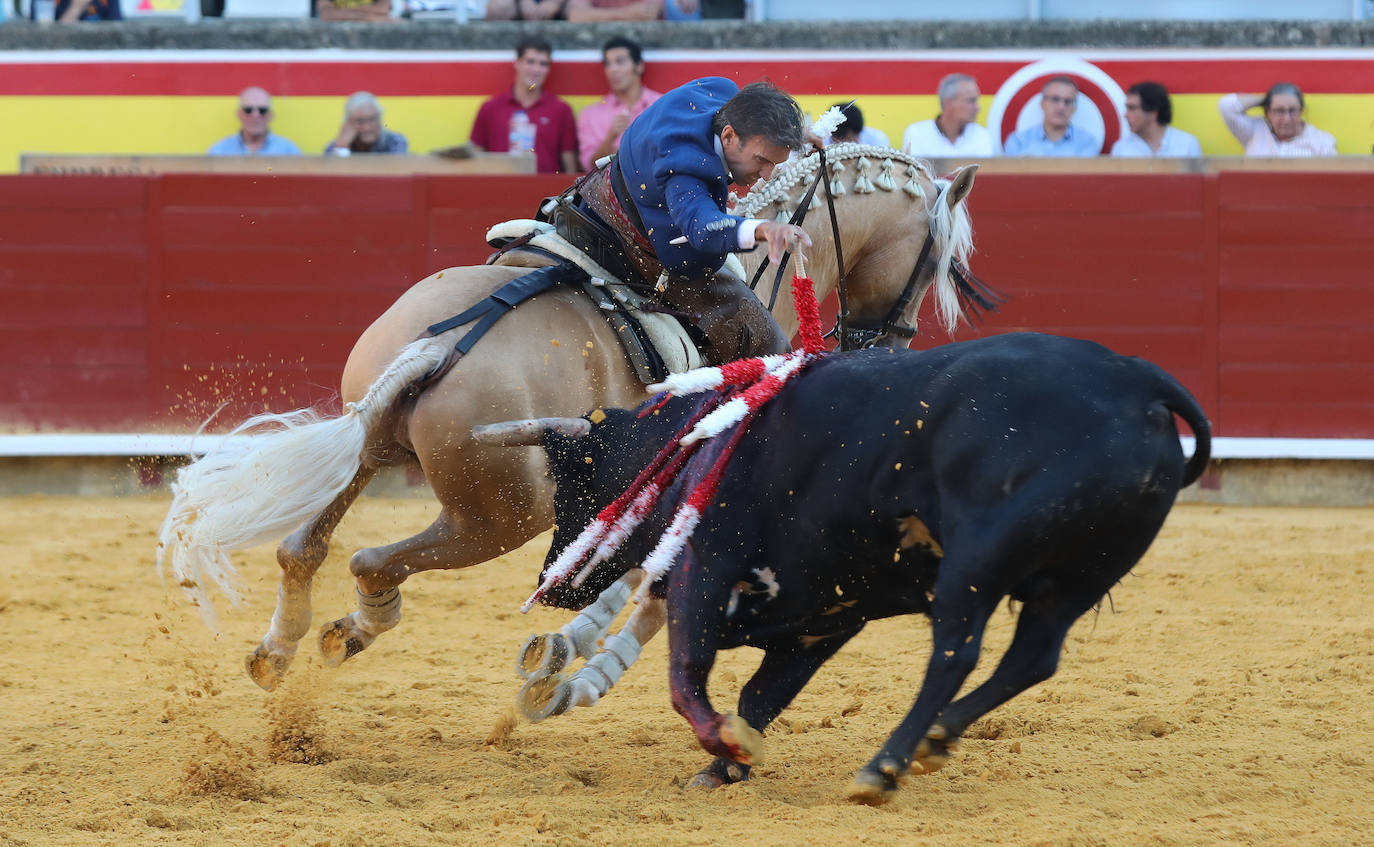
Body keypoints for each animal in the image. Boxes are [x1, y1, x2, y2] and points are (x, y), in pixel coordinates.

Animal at [158, 143, 978, 687]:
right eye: (936, 259)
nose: (891, 341)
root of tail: (439, 346)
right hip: (504, 514)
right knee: (370, 561)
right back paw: (358, 627)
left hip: (371, 444)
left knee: (304, 546)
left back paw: (279, 651)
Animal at [530, 332, 1209, 803]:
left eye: (570, 490)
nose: (550, 584)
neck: (704, 444)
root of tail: (1138, 382)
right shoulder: (827, 621)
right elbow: (759, 695)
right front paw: (726, 766)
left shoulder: (708, 569)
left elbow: (687, 676)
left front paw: (725, 745)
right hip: (1076, 582)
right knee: (1033, 657)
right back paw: (936, 739)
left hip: (974, 564)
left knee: (956, 654)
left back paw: (884, 766)